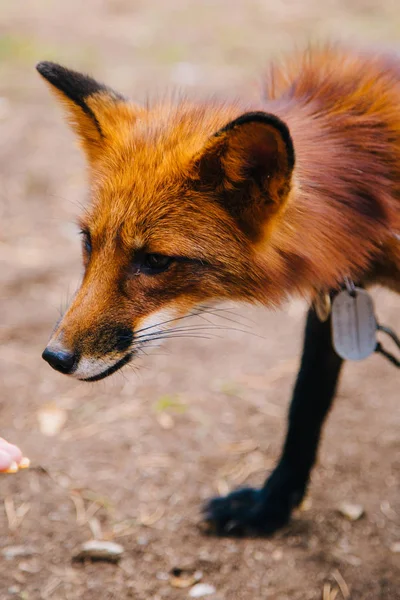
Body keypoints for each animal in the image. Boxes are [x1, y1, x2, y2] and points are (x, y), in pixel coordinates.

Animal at [36, 45, 396, 536]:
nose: (55, 357)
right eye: (88, 241)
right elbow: (305, 406)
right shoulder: (336, 305)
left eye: (155, 261)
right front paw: (269, 509)